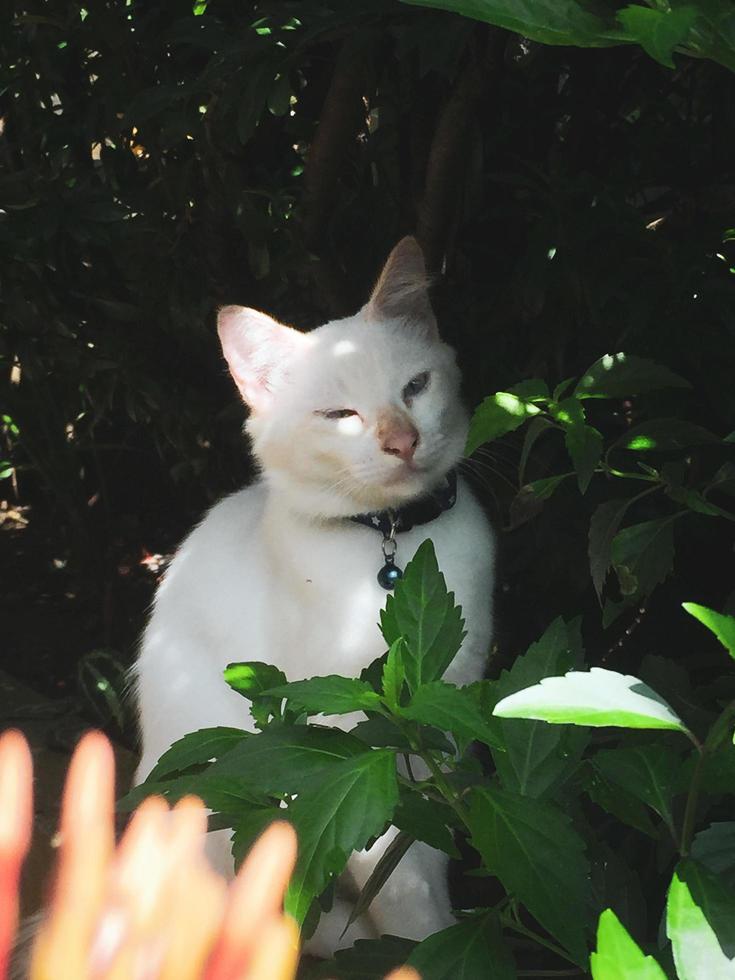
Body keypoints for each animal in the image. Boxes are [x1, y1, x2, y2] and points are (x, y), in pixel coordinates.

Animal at [135, 239, 498, 956]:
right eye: (340, 416)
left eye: (415, 387)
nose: (402, 441)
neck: (391, 544)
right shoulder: (358, 748)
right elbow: (404, 884)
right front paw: (424, 951)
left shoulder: (448, 720)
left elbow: (433, 843)